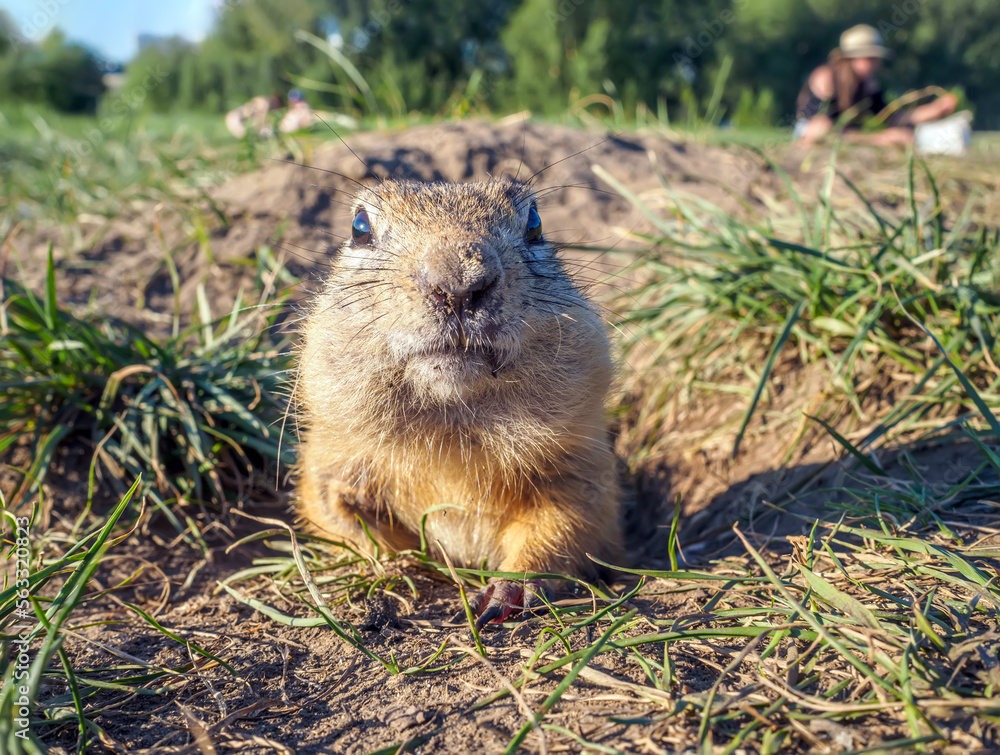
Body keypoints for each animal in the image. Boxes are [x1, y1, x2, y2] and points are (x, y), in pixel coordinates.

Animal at [296, 177, 620, 628]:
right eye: (360, 227)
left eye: (535, 222)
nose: (458, 284)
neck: (454, 430)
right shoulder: (330, 463)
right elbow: (346, 525)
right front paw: (403, 568)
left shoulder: (580, 467)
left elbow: (565, 526)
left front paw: (505, 593)